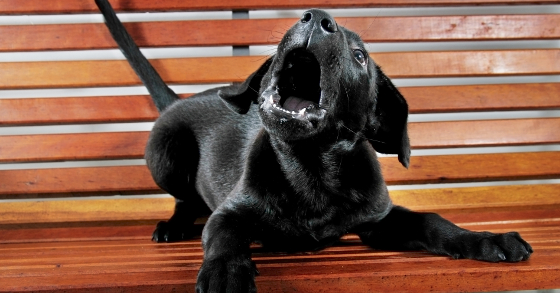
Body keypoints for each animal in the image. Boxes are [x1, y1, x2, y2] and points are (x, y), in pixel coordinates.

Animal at [94, 1, 532, 290]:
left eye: (360, 56)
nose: (317, 17)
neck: (313, 169)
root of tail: (178, 100)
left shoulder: (379, 220)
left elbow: (432, 221)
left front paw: (485, 240)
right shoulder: (229, 214)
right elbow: (223, 239)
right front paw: (226, 275)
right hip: (164, 152)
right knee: (186, 198)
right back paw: (174, 225)